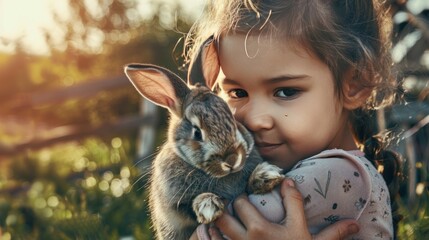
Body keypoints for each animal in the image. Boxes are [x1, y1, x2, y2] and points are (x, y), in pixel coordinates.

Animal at [123, 36, 284, 240]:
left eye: (233, 119)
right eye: (197, 133)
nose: (232, 159)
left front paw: (265, 175)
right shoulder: (175, 205)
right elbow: (190, 208)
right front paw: (208, 205)